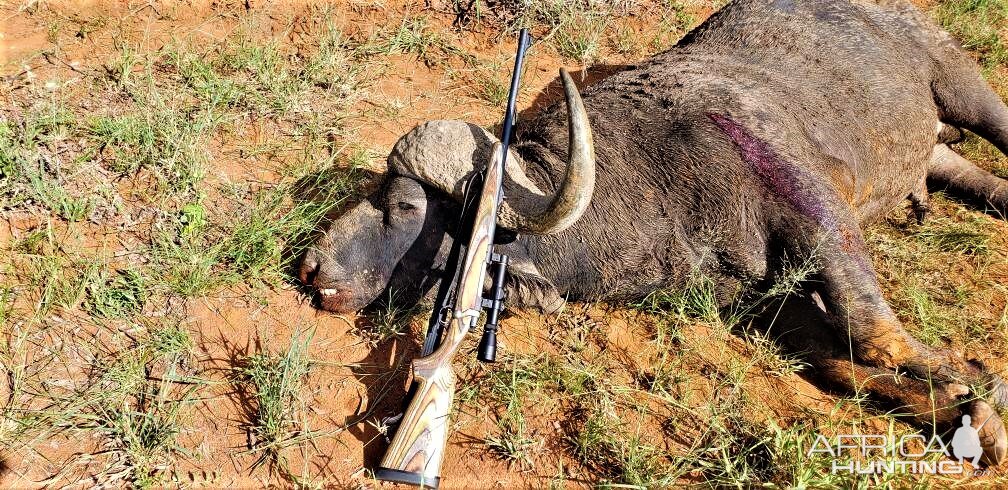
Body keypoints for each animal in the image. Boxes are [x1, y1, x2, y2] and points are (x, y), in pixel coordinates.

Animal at [302, 0, 1008, 463]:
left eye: (400, 203)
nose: (311, 267)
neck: (647, 178)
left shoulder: (818, 215)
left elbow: (871, 333)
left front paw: (974, 389)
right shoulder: (762, 304)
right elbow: (839, 360)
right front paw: (958, 404)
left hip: (961, 82)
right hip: (936, 148)